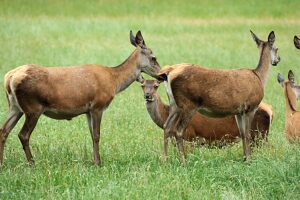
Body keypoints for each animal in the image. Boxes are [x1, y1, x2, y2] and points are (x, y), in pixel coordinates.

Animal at [0, 30, 162, 166]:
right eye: (154, 57)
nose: (162, 75)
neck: (114, 81)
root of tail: (10, 78)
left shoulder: (88, 111)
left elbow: (91, 135)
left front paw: (94, 160)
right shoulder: (98, 105)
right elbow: (96, 135)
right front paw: (98, 163)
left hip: (15, 107)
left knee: (4, 131)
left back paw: (2, 163)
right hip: (33, 107)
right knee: (23, 134)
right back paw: (32, 163)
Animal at [139, 78, 274, 145]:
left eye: (156, 86)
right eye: (142, 85)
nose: (147, 95)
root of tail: (271, 111)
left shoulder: (191, 136)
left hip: (260, 134)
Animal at [157, 30, 278, 163]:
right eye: (276, 48)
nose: (278, 60)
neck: (259, 77)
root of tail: (170, 71)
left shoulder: (239, 111)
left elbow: (242, 134)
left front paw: (244, 158)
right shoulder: (251, 106)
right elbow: (247, 135)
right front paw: (249, 160)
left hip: (174, 104)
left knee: (167, 127)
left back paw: (164, 160)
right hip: (188, 104)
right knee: (178, 130)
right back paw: (183, 161)